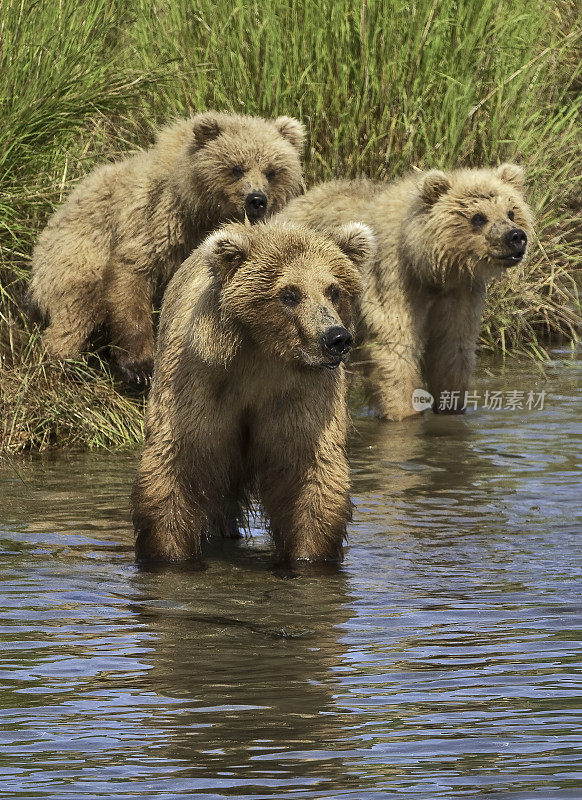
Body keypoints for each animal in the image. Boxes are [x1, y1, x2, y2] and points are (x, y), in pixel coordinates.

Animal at [29, 111, 308, 384]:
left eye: (272, 171)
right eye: (236, 168)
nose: (257, 200)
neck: (200, 209)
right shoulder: (159, 219)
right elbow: (133, 273)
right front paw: (140, 367)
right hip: (78, 250)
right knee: (77, 306)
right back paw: (59, 362)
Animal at [133, 216, 376, 560]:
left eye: (334, 290)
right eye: (290, 294)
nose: (336, 338)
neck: (260, 354)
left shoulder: (303, 394)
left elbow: (311, 473)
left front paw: (309, 555)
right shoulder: (197, 383)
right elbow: (176, 463)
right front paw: (168, 551)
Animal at [280, 166, 536, 422]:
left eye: (511, 212)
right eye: (478, 217)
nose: (515, 236)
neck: (429, 270)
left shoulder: (460, 293)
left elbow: (453, 347)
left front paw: (451, 406)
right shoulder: (392, 279)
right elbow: (395, 345)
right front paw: (405, 412)